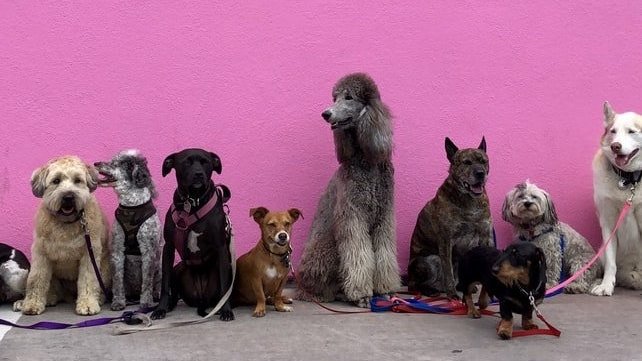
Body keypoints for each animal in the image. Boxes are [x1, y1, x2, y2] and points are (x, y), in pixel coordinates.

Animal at [14, 156, 110, 314]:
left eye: (78, 180)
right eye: (56, 180)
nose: (68, 197)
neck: (66, 223)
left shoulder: (90, 254)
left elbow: (88, 280)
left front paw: (88, 304)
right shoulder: (41, 254)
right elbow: (36, 279)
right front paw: (32, 303)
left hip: (105, 269)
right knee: (53, 290)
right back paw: (46, 298)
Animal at [94, 149, 162, 310]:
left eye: (116, 163)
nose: (96, 163)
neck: (132, 206)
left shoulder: (149, 250)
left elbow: (147, 281)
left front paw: (146, 302)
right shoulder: (117, 249)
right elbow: (118, 280)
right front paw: (118, 302)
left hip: (159, 266)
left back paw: (156, 295)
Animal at [294, 73, 396, 306]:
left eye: (349, 97)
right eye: (335, 97)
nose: (326, 113)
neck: (367, 162)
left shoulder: (383, 217)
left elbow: (385, 253)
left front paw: (384, 290)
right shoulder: (352, 217)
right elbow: (358, 253)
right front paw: (362, 294)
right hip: (327, 250)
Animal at [408, 136, 492, 296]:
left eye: (484, 161)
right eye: (467, 162)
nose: (480, 173)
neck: (470, 200)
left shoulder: (484, 237)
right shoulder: (446, 240)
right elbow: (448, 272)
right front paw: (452, 294)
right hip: (428, 260)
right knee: (414, 285)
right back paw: (430, 290)